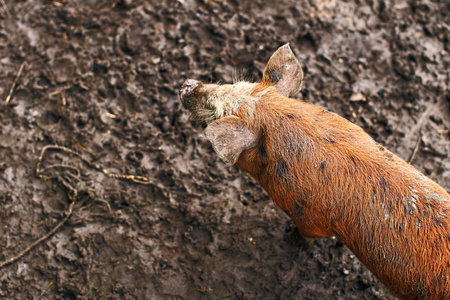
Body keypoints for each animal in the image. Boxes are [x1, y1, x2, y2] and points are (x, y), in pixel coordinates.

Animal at [178, 43, 450, 298]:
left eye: (216, 112)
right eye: (236, 84)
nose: (187, 84)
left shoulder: (308, 217)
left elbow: (306, 236)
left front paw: (289, 240)